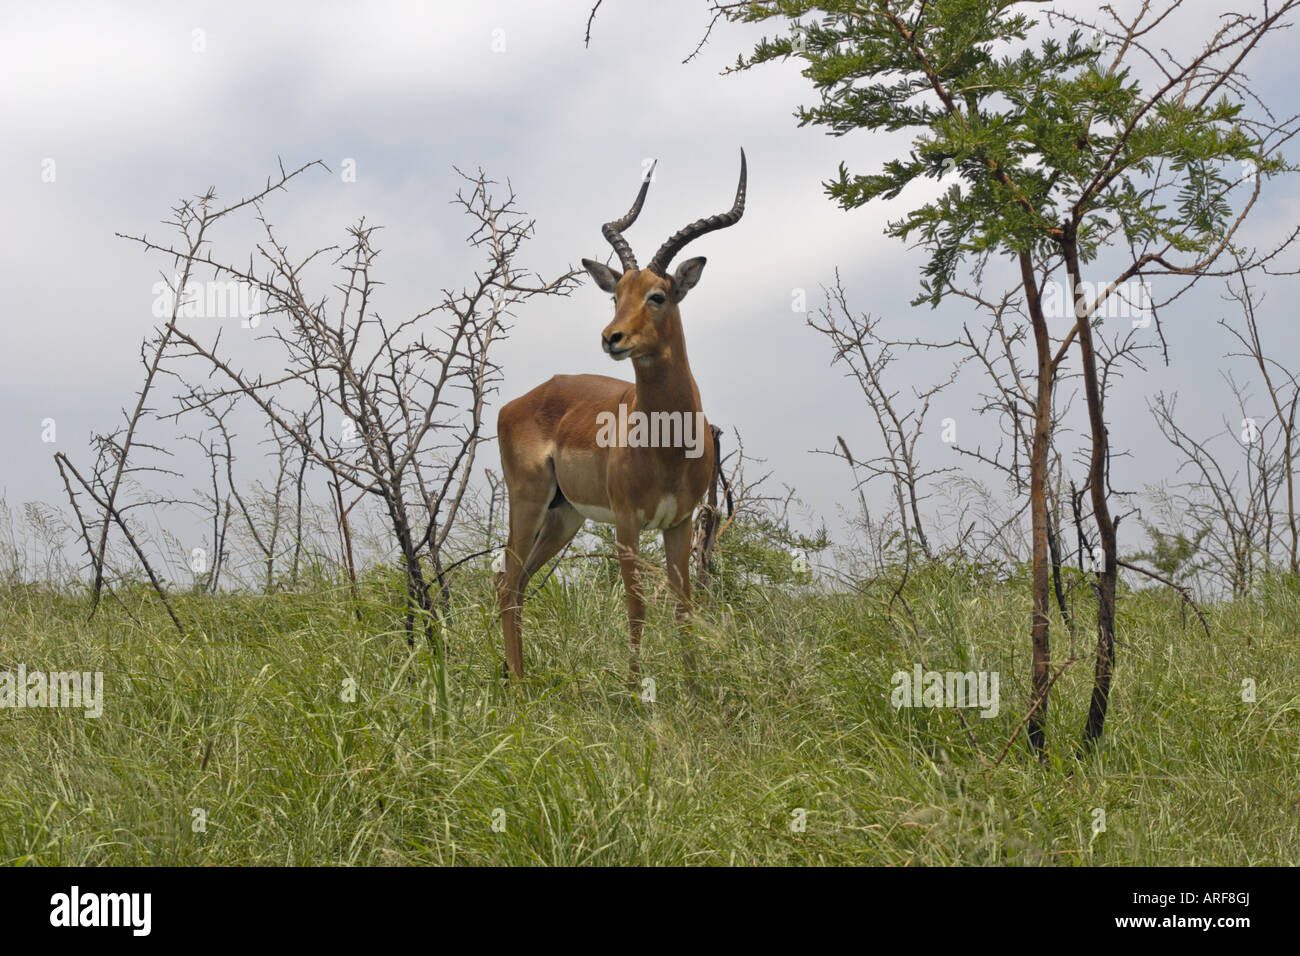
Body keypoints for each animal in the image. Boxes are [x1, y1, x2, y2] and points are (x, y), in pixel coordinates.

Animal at [495, 150, 747, 684]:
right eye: (617, 294)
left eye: (658, 294)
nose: (612, 337)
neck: (667, 442)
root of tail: (518, 401)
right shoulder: (628, 524)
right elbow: (635, 607)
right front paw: (632, 692)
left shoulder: (680, 522)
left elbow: (683, 606)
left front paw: (694, 689)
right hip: (527, 501)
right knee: (506, 584)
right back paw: (520, 689)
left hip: (563, 516)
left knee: (518, 583)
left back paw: (519, 678)